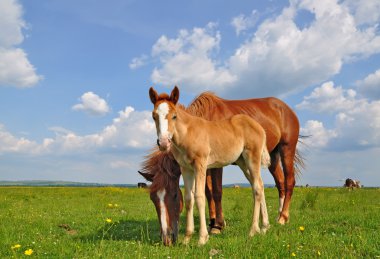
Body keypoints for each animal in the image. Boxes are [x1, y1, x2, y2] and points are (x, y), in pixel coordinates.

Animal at [139, 88, 302, 247]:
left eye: (174, 116)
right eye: (154, 116)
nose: (163, 143)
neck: (189, 132)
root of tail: (259, 126)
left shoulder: (202, 165)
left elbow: (203, 195)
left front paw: (204, 236)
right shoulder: (186, 169)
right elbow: (190, 198)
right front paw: (187, 238)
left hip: (273, 153)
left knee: (270, 185)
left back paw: (262, 226)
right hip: (249, 162)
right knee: (263, 185)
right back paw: (265, 226)